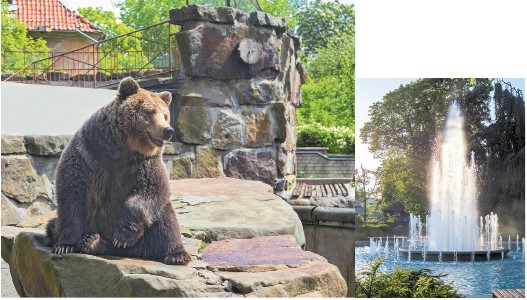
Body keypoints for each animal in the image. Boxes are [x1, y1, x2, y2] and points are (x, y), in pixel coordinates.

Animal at [47, 77, 192, 264]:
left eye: (165, 115)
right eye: (150, 112)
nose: (168, 130)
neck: (121, 148)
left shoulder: (145, 163)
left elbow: (151, 190)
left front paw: (122, 236)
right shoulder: (87, 151)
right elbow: (71, 191)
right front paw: (64, 245)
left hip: (150, 228)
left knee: (166, 221)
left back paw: (176, 254)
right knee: (51, 226)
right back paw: (90, 240)